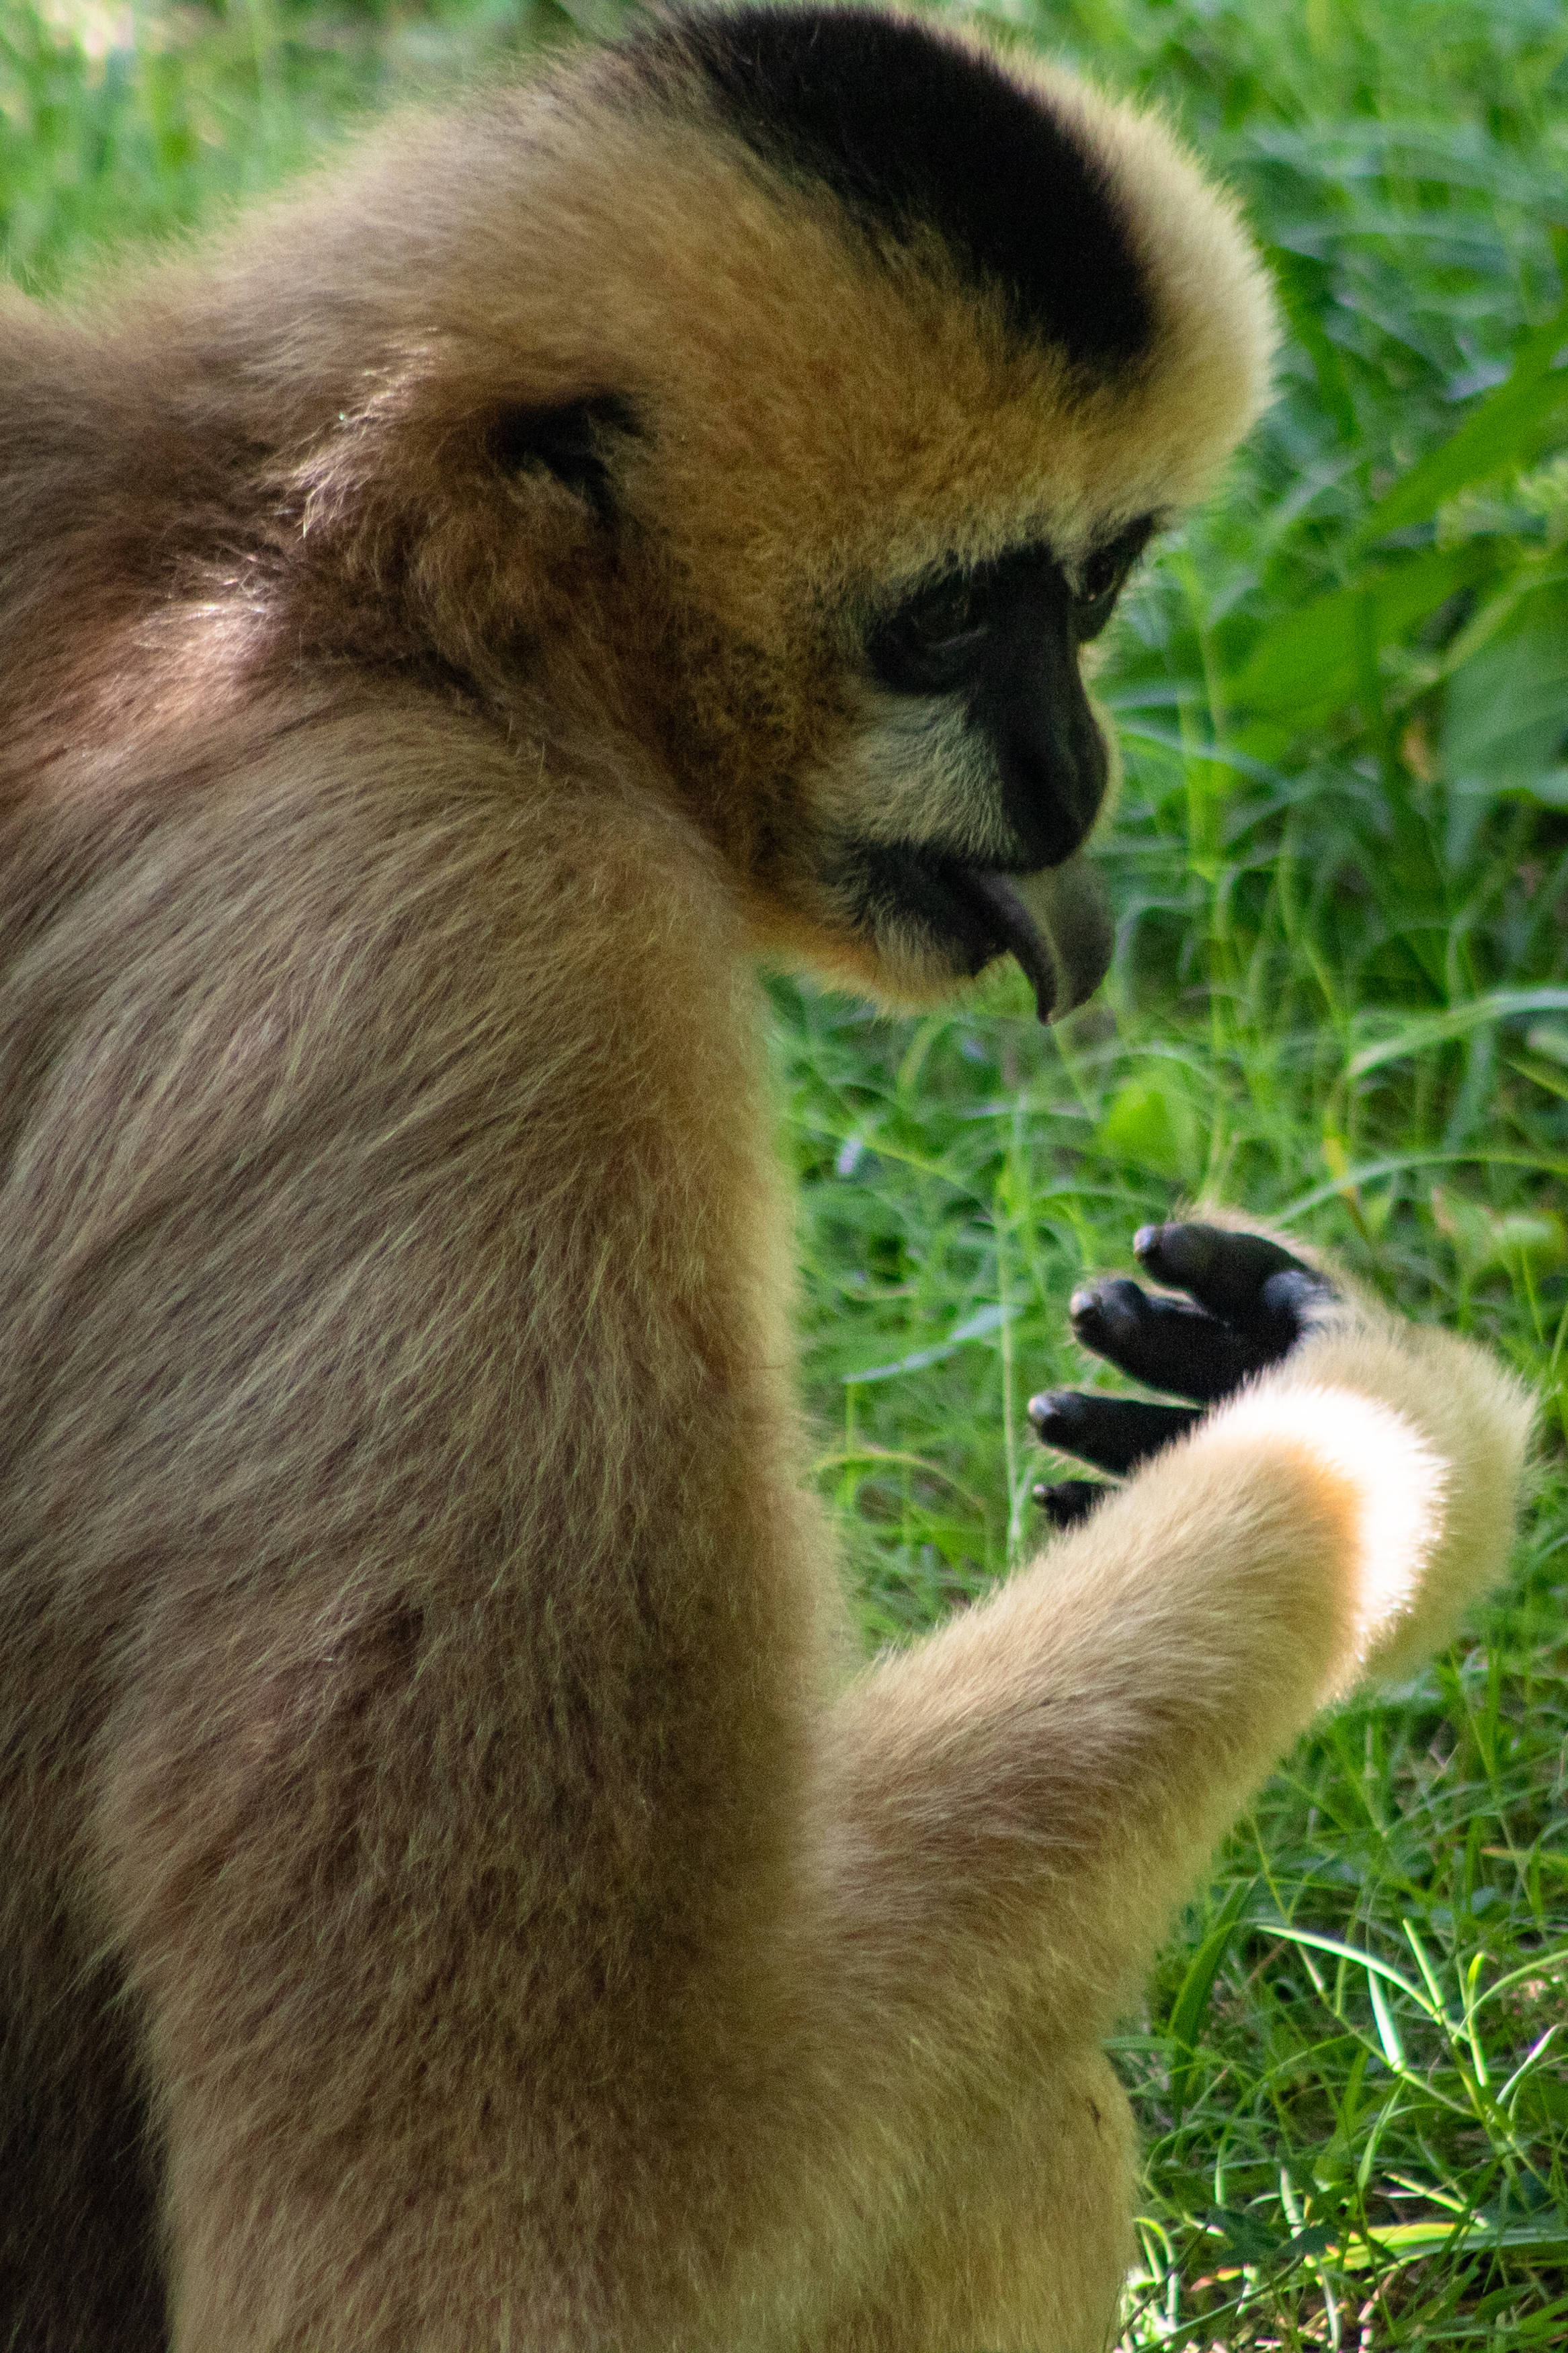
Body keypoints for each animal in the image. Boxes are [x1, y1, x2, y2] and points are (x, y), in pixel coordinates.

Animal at [0, 6, 1531, 2349]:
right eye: (954, 622)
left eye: (1095, 587)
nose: (1073, 773)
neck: (322, 587)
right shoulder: (482, 947)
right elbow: (535, 2231)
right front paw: (1376, 1439)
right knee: (1014, 2107)